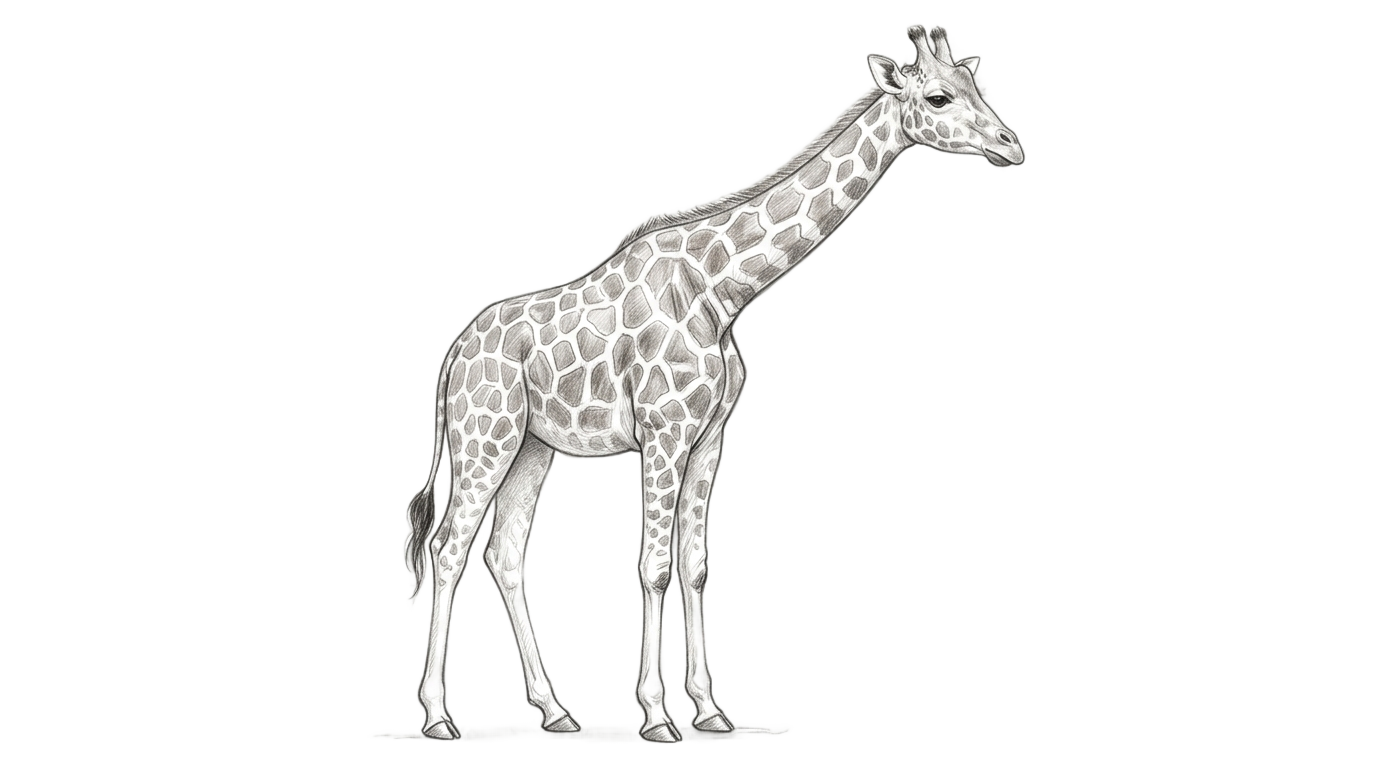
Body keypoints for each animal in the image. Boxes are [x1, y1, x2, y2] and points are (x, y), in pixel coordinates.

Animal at [400, 24, 1023, 743]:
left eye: (976, 84)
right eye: (938, 96)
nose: (1011, 145)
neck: (722, 289)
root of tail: (456, 352)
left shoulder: (709, 437)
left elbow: (695, 565)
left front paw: (708, 707)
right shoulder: (663, 434)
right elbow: (654, 565)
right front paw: (653, 715)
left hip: (533, 445)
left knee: (504, 554)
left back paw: (554, 709)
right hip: (487, 435)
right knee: (448, 547)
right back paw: (438, 716)